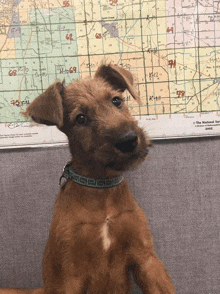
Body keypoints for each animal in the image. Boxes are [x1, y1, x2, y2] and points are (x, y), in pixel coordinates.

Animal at [0, 65, 175, 294]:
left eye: (116, 100)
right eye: (80, 118)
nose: (128, 140)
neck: (101, 191)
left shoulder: (146, 259)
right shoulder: (69, 276)